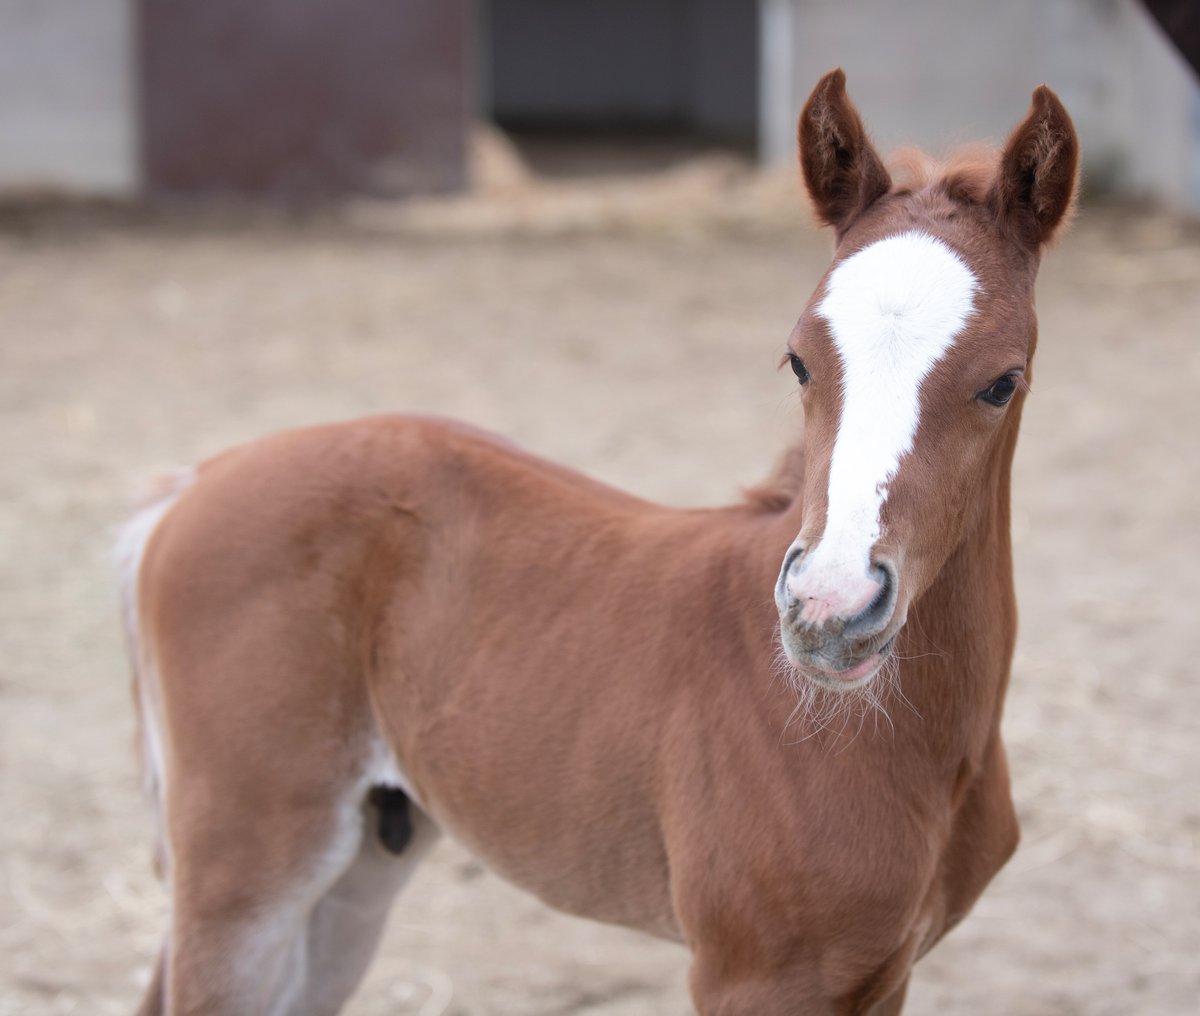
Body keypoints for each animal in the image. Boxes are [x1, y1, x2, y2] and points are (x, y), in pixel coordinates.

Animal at [119, 70, 1078, 1015]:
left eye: (1003, 382)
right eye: (800, 359)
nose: (829, 610)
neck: (896, 745)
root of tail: (197, 480)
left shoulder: (884, 976)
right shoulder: (754, 978)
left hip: (355, 870)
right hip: (247, 870)